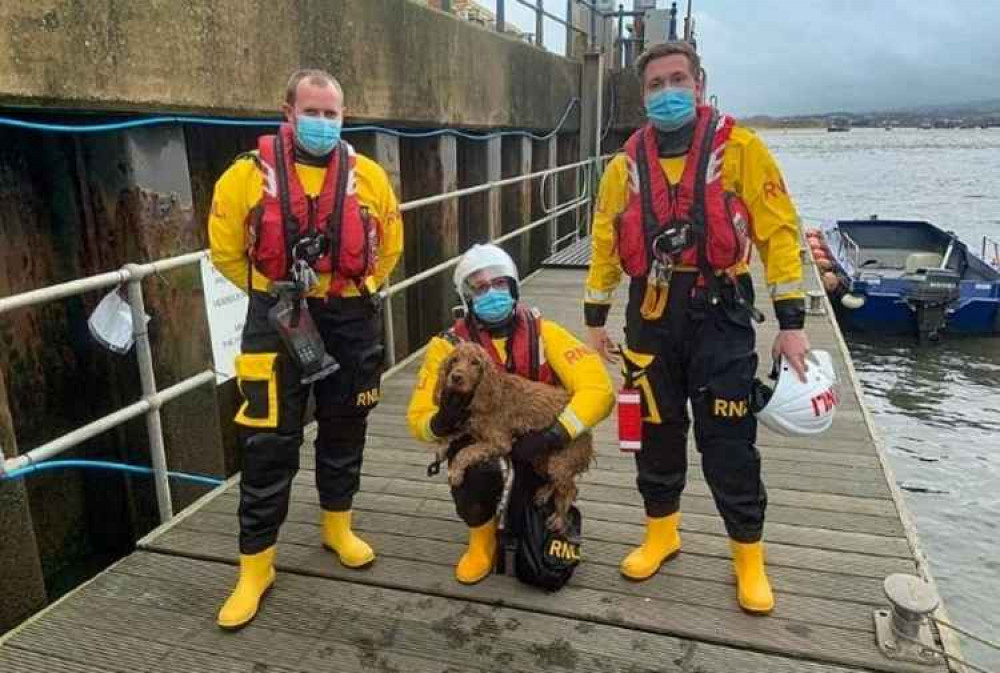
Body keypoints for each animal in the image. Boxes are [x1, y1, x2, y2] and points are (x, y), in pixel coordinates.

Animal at [432, 342, 592, 532]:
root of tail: (589, 437)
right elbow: (455, 433)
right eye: (454, 360)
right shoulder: (471, 425)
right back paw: (544, 493)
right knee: (557, 482)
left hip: (559, 461)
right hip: (541, 459)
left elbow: (465, 451)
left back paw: (559, 518)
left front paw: (455, 472)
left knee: (571, 489)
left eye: (475, 363)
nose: (455, 377)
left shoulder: (500, 441)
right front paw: (441, 446)